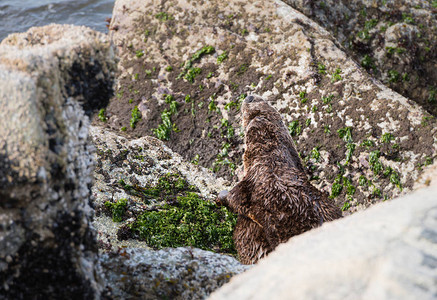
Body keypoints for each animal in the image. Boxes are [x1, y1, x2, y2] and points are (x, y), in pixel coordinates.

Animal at [218, 95, 340, 264]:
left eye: (249, 114)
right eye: (264, 102)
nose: (250, 97)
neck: (270, 162)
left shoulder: (247, 188)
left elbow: (232, 198)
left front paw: (220, 196)